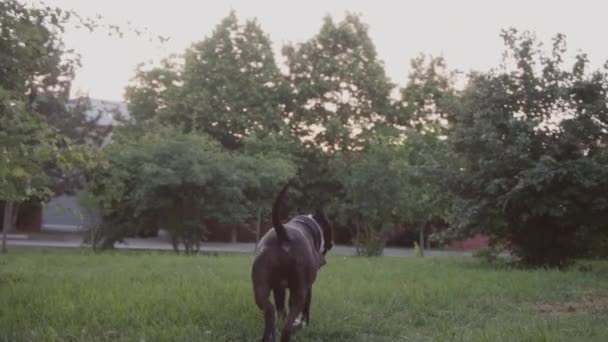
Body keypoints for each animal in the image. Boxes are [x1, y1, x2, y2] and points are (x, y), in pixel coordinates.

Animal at [253, 184, 334, 342]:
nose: (331, 244)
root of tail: (283, 235)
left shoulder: (278, 288)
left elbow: (280, 308)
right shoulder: (308, 288)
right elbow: (306, 308)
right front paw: (304, 323)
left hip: (260, 290)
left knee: (270, 311)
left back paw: (269, 335)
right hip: (298, 293)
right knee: (288, 326)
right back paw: (293, 329)